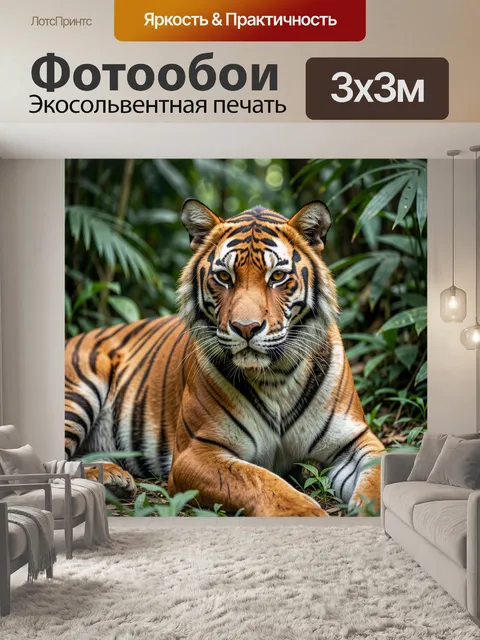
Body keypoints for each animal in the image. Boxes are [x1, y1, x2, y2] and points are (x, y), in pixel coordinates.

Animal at [65, 199, 385, 516]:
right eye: (223, 277)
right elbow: (259, 480)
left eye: (277, 277)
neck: (277, 376)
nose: (246, 328)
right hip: (77, 393)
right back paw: (111, 477)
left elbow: (380, 473)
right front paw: (304, 513)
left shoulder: (354, 439)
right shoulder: (197, 450)